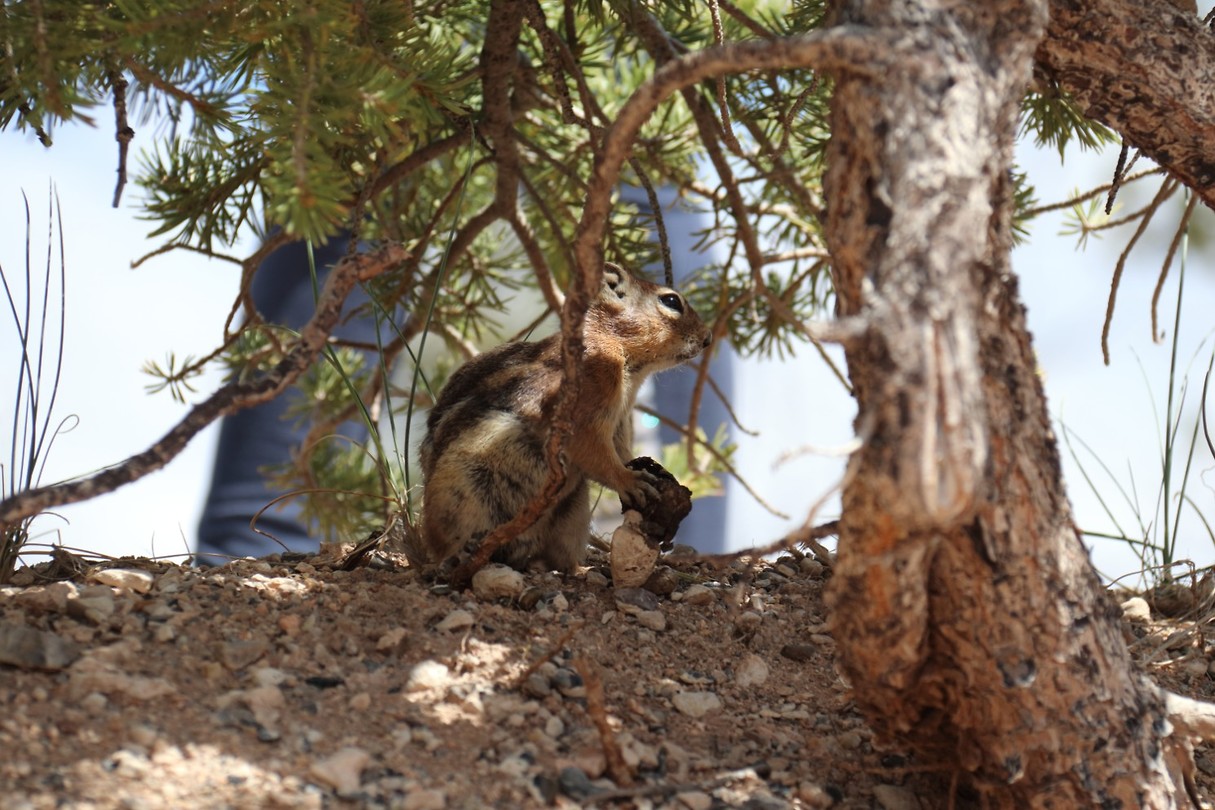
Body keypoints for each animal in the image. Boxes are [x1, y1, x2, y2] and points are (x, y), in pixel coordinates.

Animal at [414, 262, 712, 572]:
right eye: (671, 301)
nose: (708, 339)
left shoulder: (620, 420)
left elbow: (620, 450)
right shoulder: (587, 399)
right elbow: (594, 451)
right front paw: (631, 480)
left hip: (574, 508)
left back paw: (576, 569)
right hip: (464, 494)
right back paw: (456, 556)